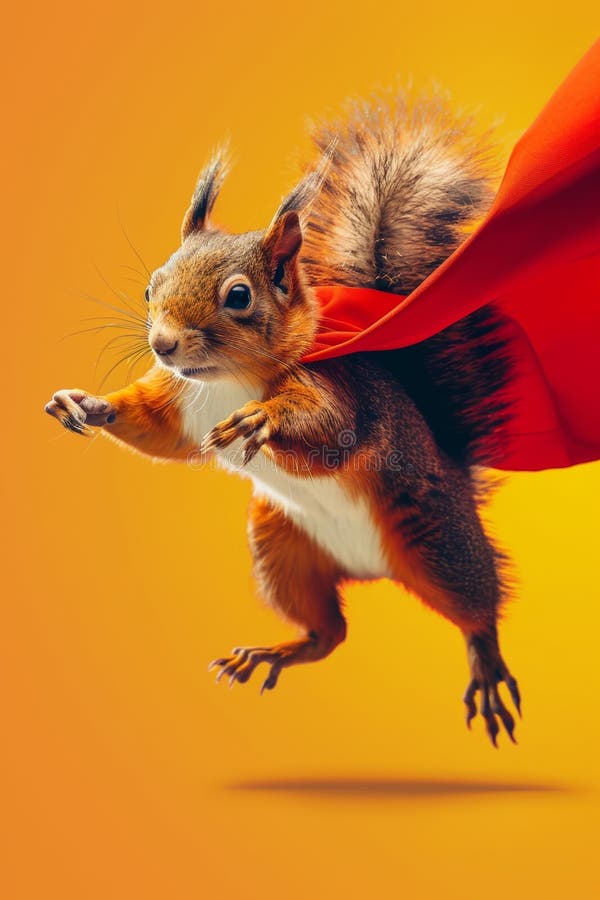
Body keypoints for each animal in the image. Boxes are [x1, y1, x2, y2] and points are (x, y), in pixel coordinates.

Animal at [45, 90, 522, 746]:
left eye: (239, 296)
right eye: (150, 287)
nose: (163, 345)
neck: (224, 383)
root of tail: (372, 568)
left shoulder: (338, 393)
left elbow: (328, 429)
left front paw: (260, 421)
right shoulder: (180, 406)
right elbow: (157, 432)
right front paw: (87, 404)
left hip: (438, 541)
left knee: (477, 606)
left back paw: (487, 664)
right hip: (281, 549)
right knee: (329, 632)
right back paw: (275, 653)